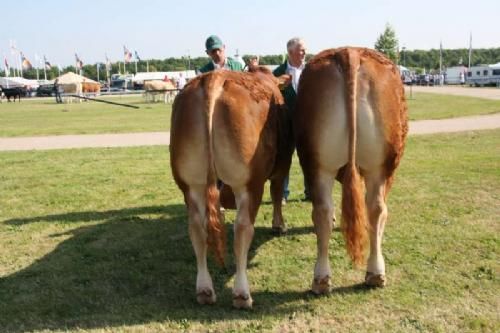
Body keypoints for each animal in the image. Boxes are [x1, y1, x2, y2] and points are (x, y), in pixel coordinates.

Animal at [170, 67, 292, 308]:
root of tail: (215, 77)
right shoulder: (282, 165)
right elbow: (276, 194)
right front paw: (279, 225)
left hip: (190, 184)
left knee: (197, 227)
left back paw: (205, 290)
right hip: (248, 183)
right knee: (243, 228)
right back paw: (242, 294)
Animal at [294, 47, 408, 294]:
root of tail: (349, 51)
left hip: (317, 163)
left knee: (325, 211)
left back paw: (323, 279)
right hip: (381, 166)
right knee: (377, 208)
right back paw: (374, 273)